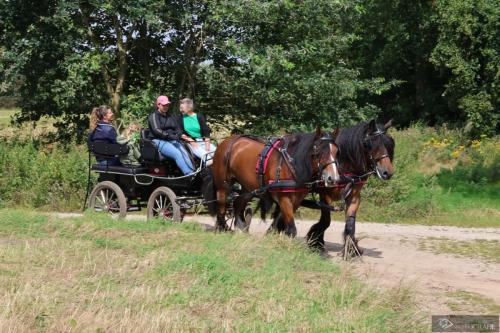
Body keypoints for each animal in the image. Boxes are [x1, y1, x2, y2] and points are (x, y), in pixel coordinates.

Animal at [209, 128, 342, 235]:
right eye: (318, 151)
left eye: (336, 151)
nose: (333, 178)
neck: (291, 164)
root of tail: (226, 141)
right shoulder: (283, 199)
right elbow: (291, 229)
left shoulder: (296, 201)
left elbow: (279, 223)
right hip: (223, 184)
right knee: (221, 206)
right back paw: (223, 229)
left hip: (248, 187)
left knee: (238, 202)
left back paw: (241, 228)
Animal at [302, 118, 396, 254]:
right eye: (369, 144)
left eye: (389, 143)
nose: (387, 172)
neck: (342, 166)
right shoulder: (324, 195)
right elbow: (326, 220)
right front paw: (316, 242)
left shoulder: (354, 196)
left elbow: (350, 222)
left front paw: (352, 248)